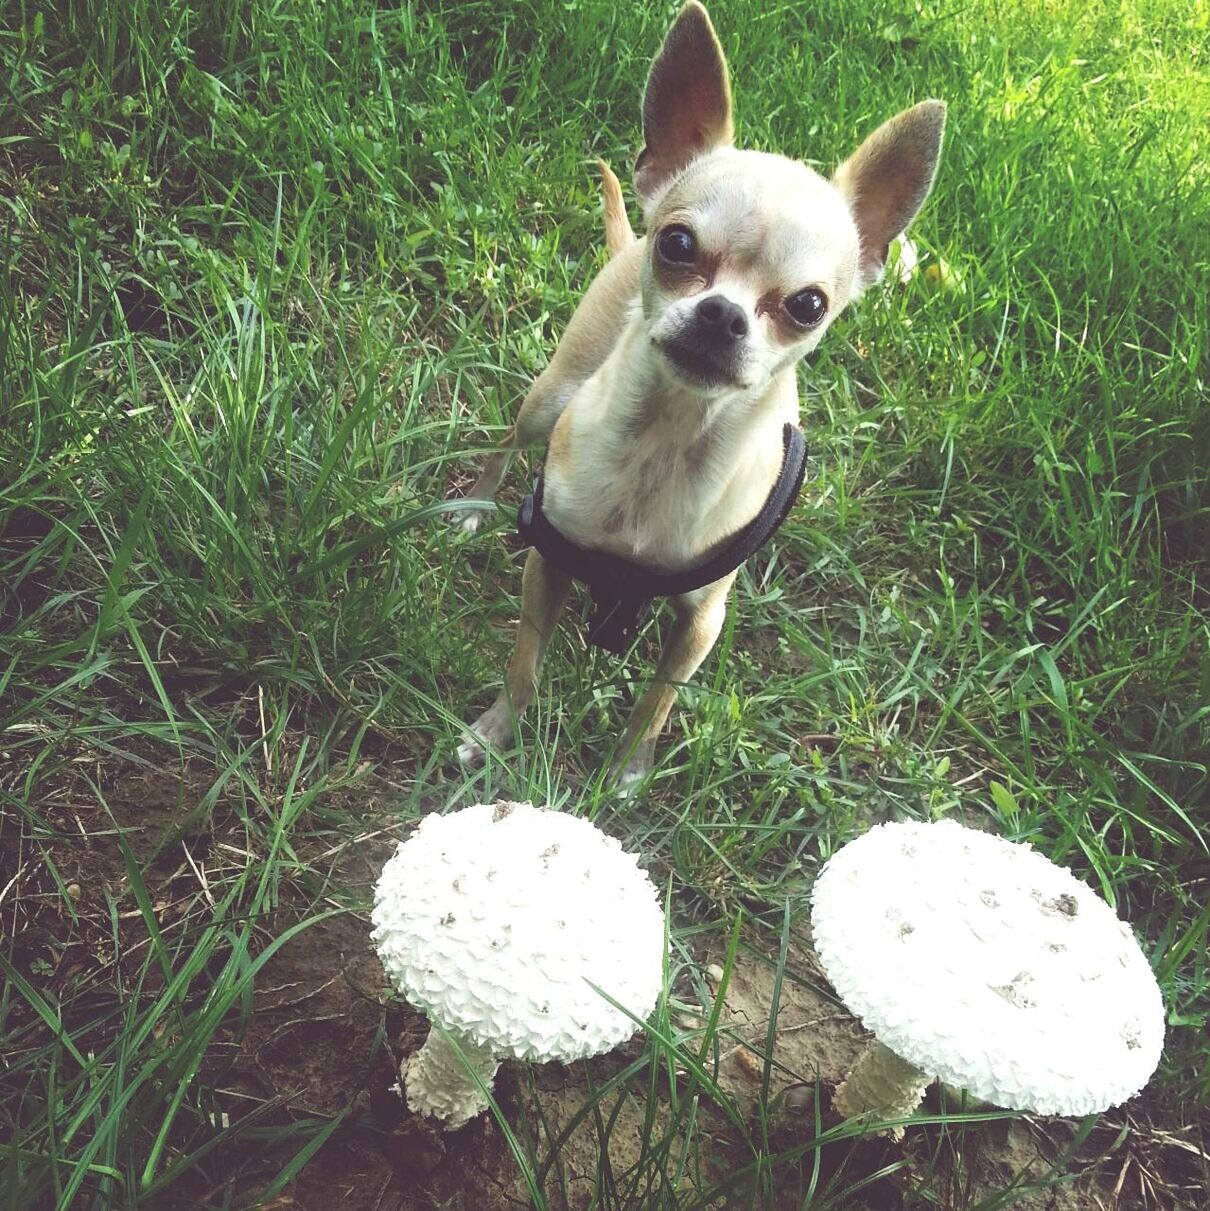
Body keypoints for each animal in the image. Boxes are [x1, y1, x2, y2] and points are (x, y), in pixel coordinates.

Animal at [452, 0, 944, 789]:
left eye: (808, 305)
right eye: (679, 246)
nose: (722, 314)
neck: (666, 437)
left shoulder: (700, 622)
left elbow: (655, 701)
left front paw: (628, 770)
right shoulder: (548, 561)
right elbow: (526, 661)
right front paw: (496, 734)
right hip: (550, 396)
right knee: (508, 439)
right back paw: (472, 505)